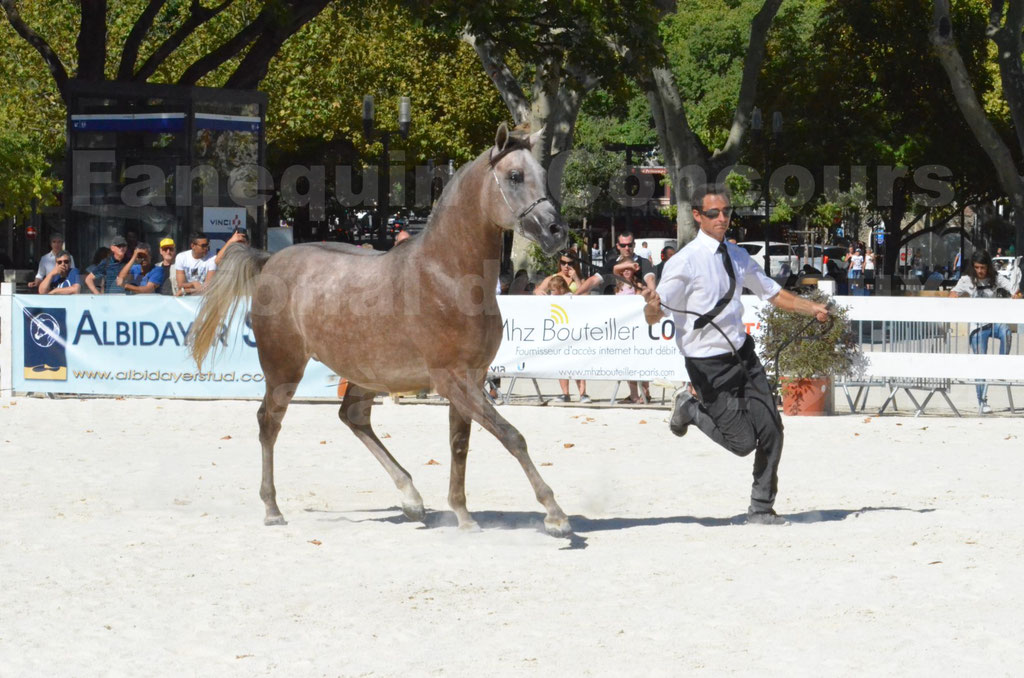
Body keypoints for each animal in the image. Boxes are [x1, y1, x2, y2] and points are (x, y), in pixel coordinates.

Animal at [188, 122, 573, 536]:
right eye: (515, 175)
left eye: (541, 173)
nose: (557, 231)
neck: (447, 276)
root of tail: (270, 260)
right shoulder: (451, 379)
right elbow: (511, 436)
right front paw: (555, 514)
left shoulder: (473, 377)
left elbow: (459, 443)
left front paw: (463, 514)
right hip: (284, 368)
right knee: (268, 423)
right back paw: (273, 508)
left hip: (365, 374)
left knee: (353, 417)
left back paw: (412, 500)